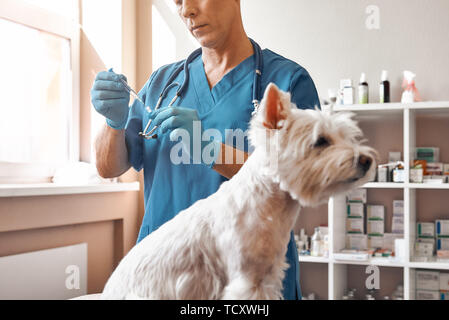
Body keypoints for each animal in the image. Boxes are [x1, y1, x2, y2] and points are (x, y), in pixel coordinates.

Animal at [100, 83, 376, 300]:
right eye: (320, 141)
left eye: (347, 136)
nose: (366, 160)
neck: (270, 204)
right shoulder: (247, 279)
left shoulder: (268, 274)